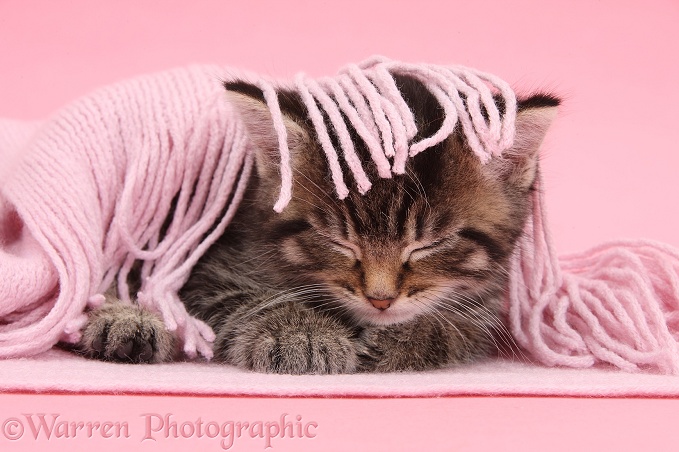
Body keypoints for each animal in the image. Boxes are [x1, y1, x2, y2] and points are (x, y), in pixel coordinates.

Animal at [79, 74, 560, 372]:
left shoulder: (488, 300)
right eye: (337, 240)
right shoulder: (204, 265)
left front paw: (410, 339)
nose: (380, 299)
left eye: (429, 244)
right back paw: (125, 323)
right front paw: (302, 333)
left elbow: (462, 328)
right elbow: (247, 299)